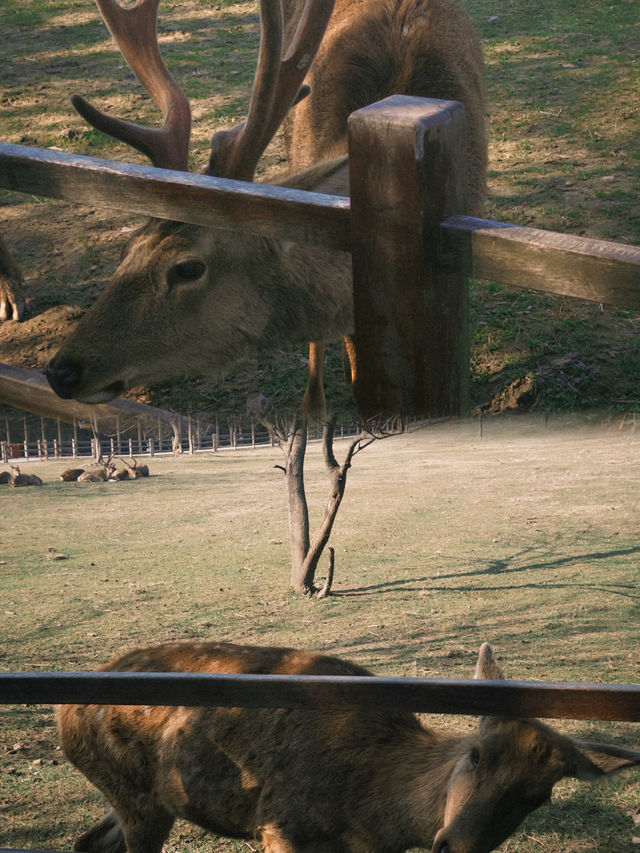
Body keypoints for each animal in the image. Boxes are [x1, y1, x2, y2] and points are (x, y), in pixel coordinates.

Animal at [56, 640, 640, 852]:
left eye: (540, 796)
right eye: (476, 753)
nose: (453, 846)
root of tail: (63, 714)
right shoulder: (280, 825)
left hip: (138, 798)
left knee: (90, 842)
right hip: (134, 796)